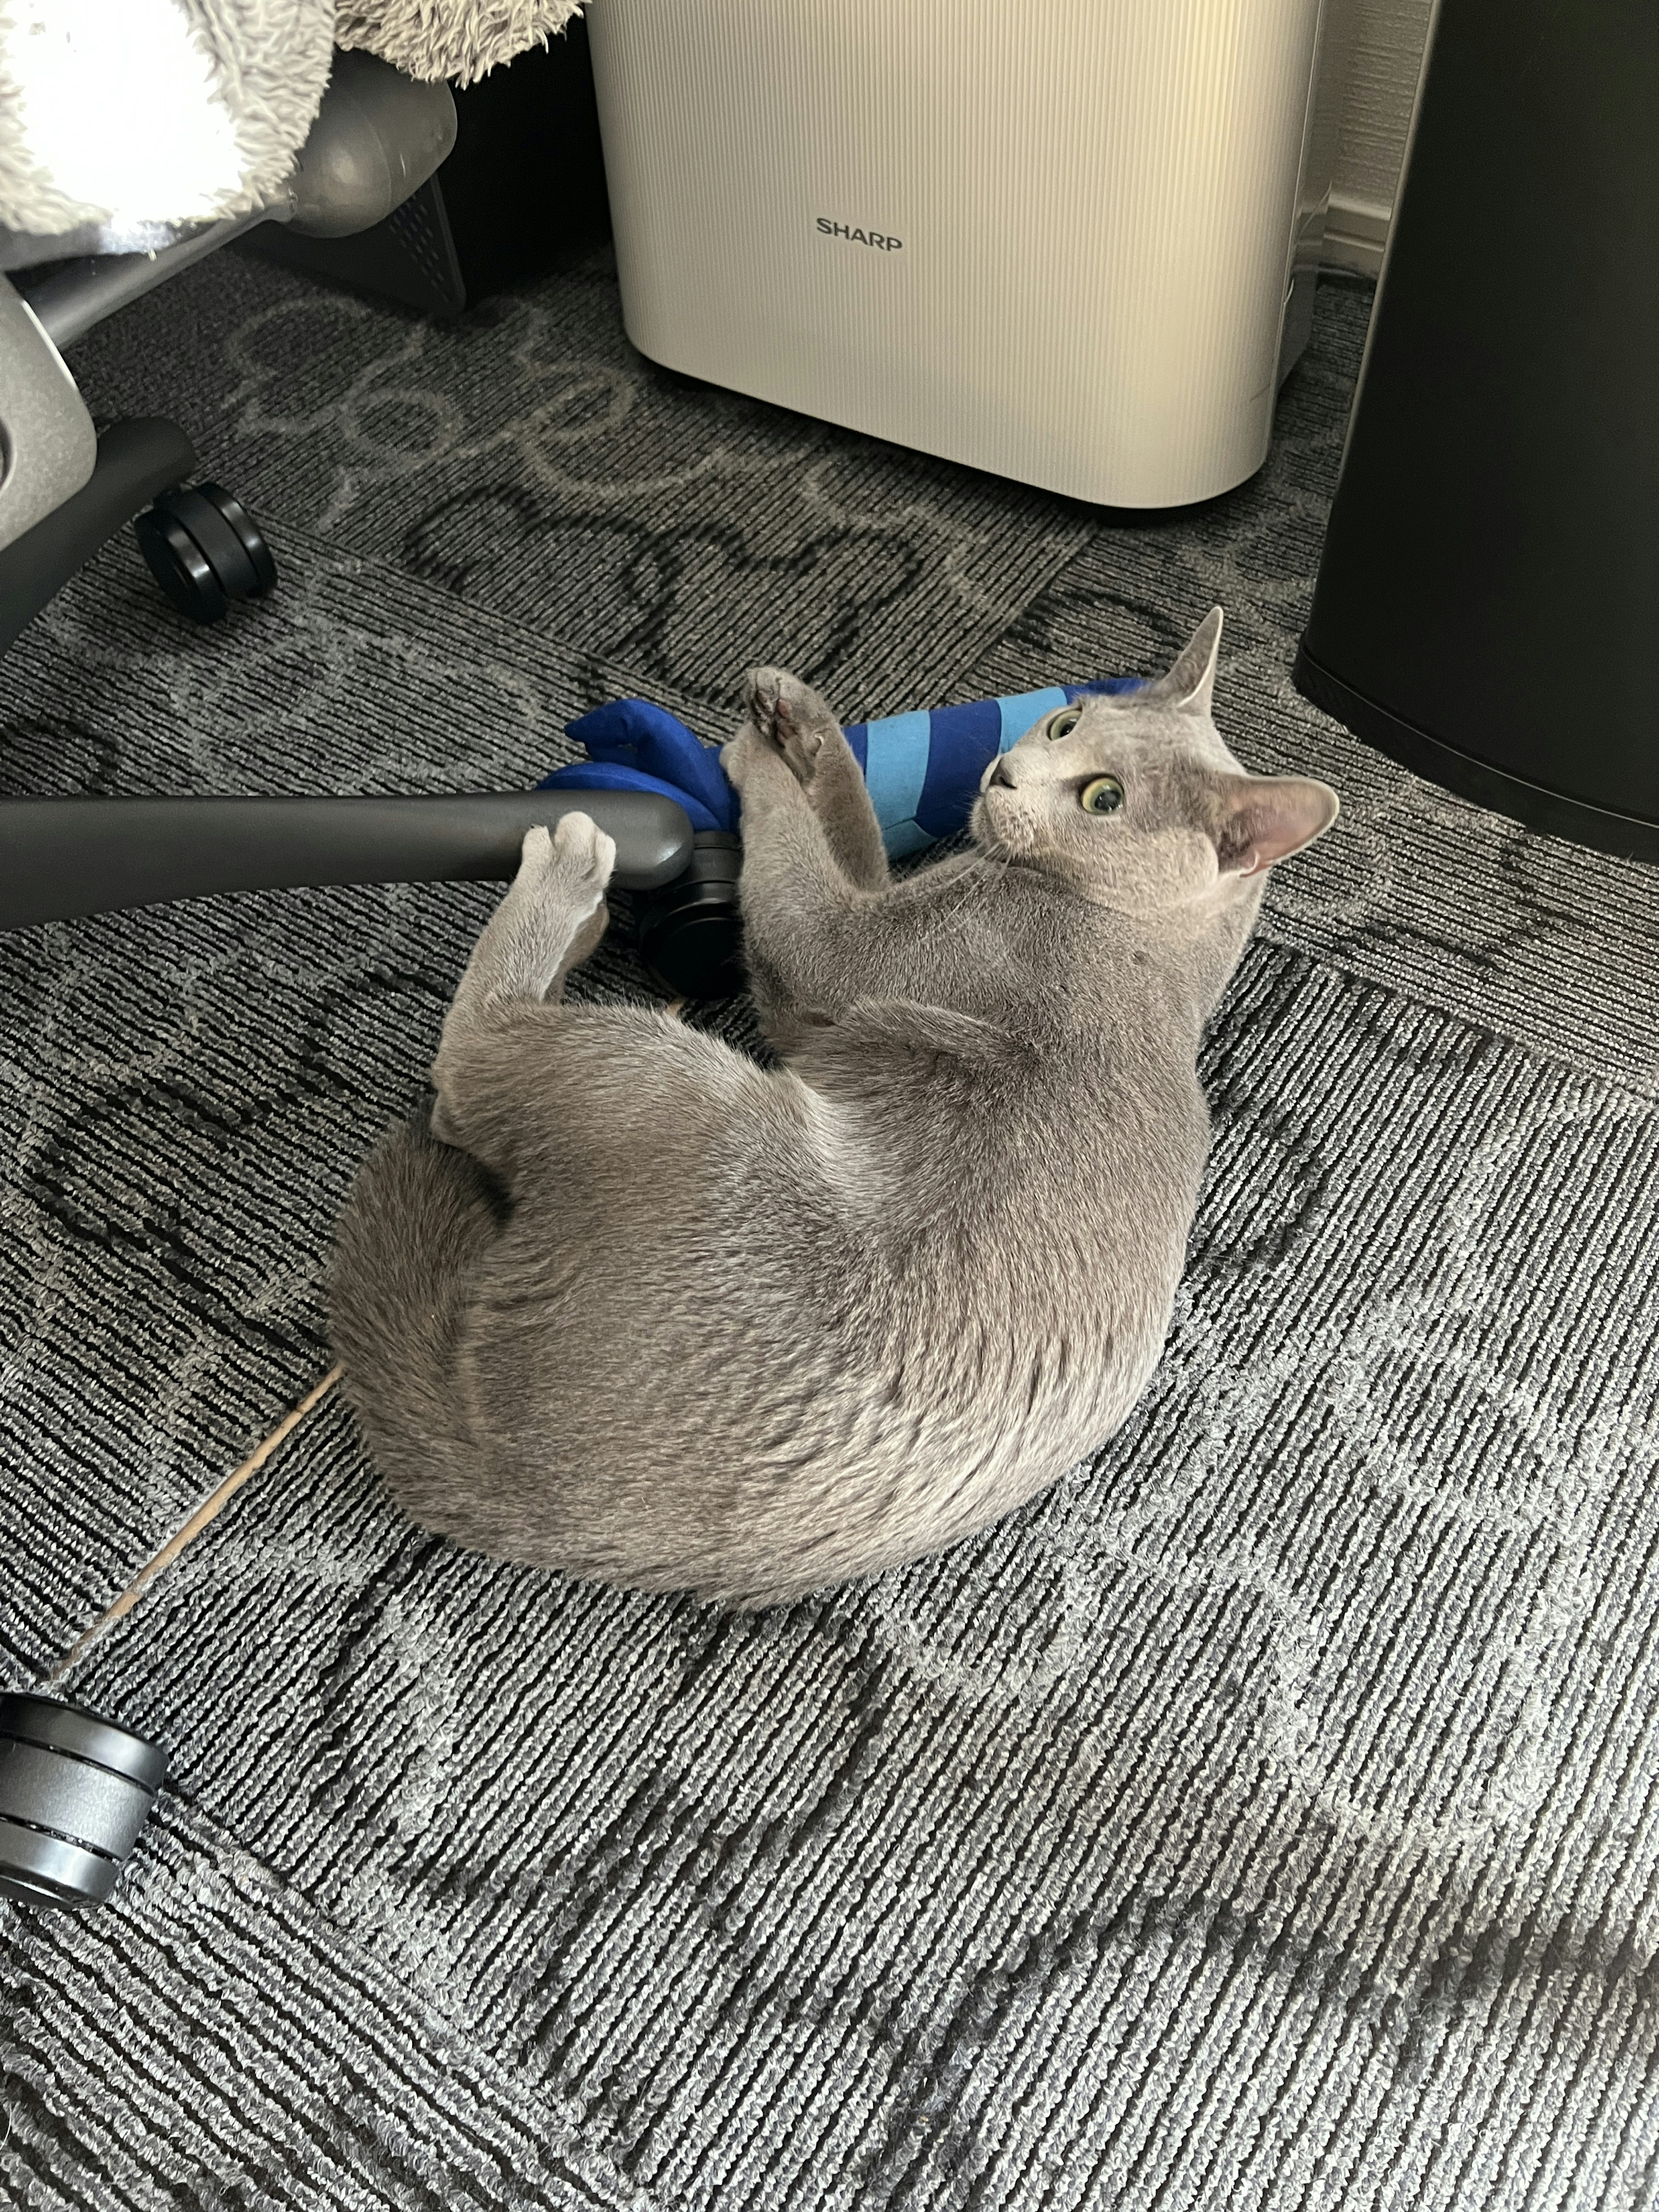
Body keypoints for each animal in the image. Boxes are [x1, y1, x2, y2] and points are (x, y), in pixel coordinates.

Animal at [334, 606, 1336, 1610]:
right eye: (1064, 723)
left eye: (1103, 798)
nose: (1006, 773)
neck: (1156, 948)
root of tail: (506, 1482)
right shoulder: (846, 952)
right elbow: (848, 832)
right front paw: (798, 717)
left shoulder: (857, 950)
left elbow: (797, 869)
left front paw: (754, 755)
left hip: (665, 1087)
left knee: (469, 1069)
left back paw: (570, 869)